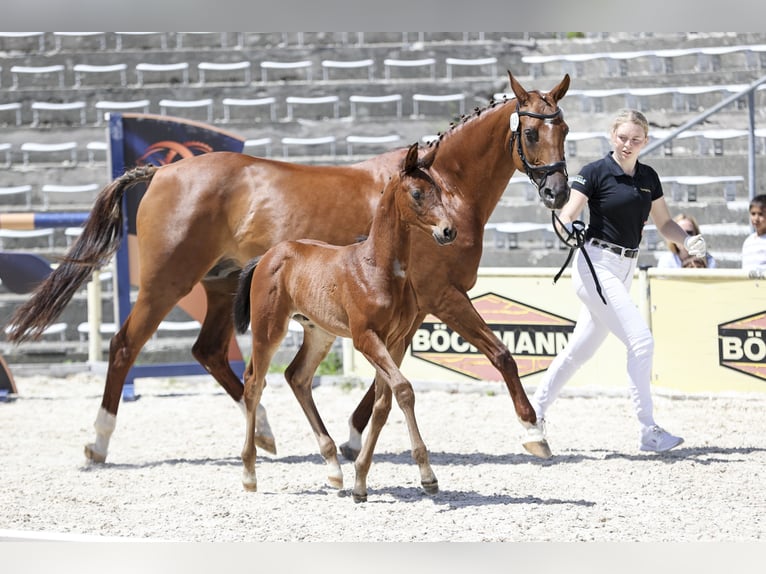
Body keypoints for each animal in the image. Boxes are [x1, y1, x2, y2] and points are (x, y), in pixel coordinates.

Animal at [5, 71, 570, 464]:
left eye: (563, 128)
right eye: (532, 134)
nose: (559, 192)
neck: (442, 188)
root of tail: (162, 170)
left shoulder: (408, 310)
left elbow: (386, 375)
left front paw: (351, 437)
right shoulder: (443, 296)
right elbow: (501, 355)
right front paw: (534, 433)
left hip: (220, 287)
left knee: (210, 352)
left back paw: (264, 433)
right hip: (167, 284)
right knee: (126, 345)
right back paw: (98, 444)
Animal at [234, 142, 455, 502]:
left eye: (441, 189)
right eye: (418, 193)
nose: (449, 231)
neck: (377, 267)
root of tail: (267, 256)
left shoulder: (394, 341)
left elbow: (383, 403)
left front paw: (360, 480)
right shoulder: (366, 338)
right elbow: (404, 390)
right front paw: (427, 476)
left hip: (319, 333)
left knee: (297, 377)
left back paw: (334, 470)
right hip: (268, 329)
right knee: (254, 383)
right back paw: (250, 474)